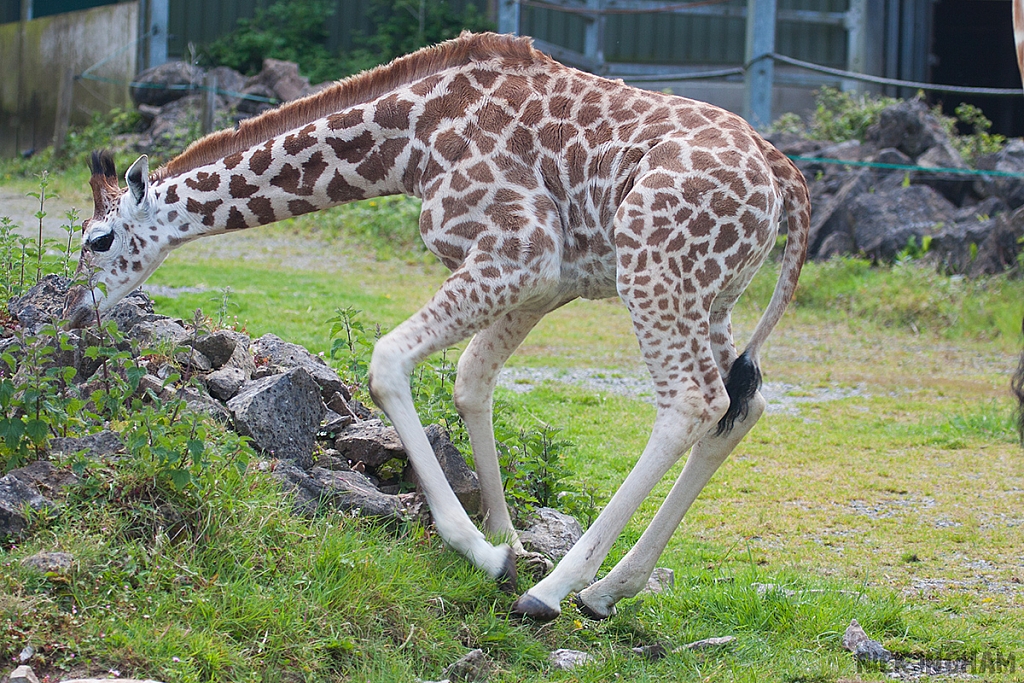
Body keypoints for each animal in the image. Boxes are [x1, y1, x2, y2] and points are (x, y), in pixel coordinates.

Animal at [64, 32, 811, 621]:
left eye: (99, 238)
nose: (75, 312)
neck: (403, 144)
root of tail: (786, 177)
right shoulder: (546, 280)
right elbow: (471, 380)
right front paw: (508, 540)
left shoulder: (519, 250)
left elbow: (389, 361)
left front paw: (483, 553)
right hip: (709, 293)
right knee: (740, 404)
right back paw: (608, 590)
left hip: (657, 272)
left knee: (691, 400)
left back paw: (555, 593)